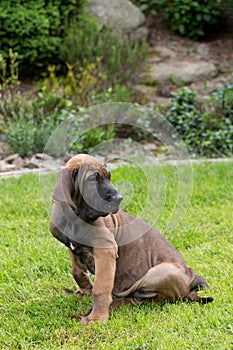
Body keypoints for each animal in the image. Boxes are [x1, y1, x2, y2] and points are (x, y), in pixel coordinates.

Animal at [50, 154, 213, 324]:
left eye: (109, 176)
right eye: (93, 179)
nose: (119, 198)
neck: (75, 218)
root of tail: (190, 279)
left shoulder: (105, 250)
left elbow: (100, 288)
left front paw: (97, 317)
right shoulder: (72, 247)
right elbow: (77, 270)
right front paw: (85, 290)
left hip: (161, 272)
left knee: (143, 299)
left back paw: (115, 304)